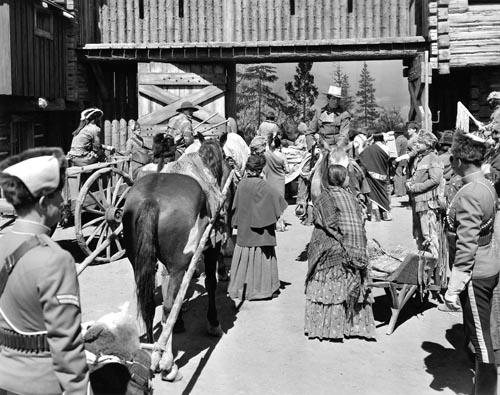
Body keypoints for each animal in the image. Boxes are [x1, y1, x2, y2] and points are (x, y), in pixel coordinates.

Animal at [122, 138, 231, 380]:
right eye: (227, 158)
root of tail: (151, 200)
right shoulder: (211, 246)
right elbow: (210, 282)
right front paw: (213, 323)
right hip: (179, 265)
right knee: (167, 308)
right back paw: (167, 364)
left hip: (137, 261)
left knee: (148, 304)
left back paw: (151, 353)